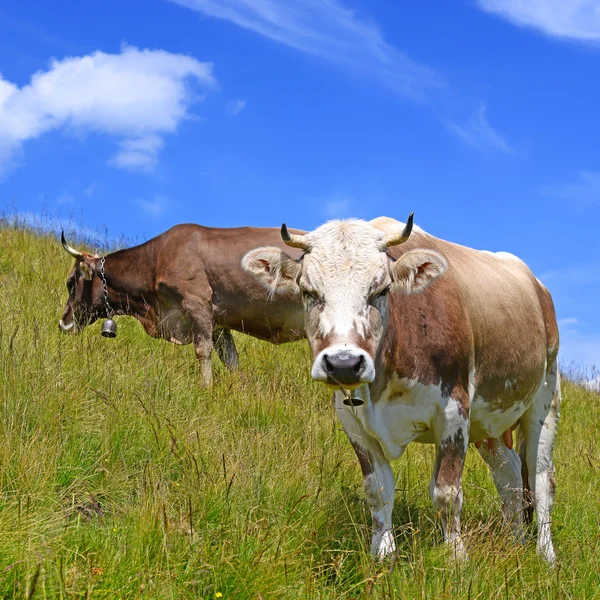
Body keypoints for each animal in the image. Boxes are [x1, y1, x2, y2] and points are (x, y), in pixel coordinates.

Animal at [58, 224, 304, 384]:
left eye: (70, 283)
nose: (63, 323)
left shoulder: (196, 303)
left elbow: (203, 350)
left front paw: (206, 388)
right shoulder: (218, 322)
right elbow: (230, 359)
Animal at [241, 214, 560, 564]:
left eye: (381, 290)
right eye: (308, 291)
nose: (343, 363)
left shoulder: (454, 410)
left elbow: (447, 492)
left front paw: (456, 558)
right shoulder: (353, 421)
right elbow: (377, 490)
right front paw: (382, 553)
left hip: (545, 398)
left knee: (541, 479)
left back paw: (545, 554)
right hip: (490, 421)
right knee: (510, 475)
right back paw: (516, 541)